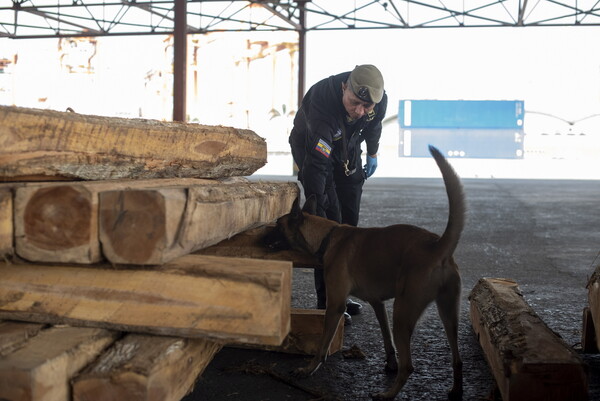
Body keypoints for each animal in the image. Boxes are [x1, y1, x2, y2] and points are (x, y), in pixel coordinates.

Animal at [264, 145, 466, 398]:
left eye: (276, 225)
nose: (261, 236)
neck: (328, 236)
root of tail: (437, 246)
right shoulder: (378, 304)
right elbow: (386, 339)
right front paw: (390, 363)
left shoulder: (335, 306)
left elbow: (323, 345)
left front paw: (309, 369)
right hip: (448, 314)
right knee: (457, 359)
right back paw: (455, 390)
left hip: (403, 313)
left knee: (410, 366)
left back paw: (388, 394)